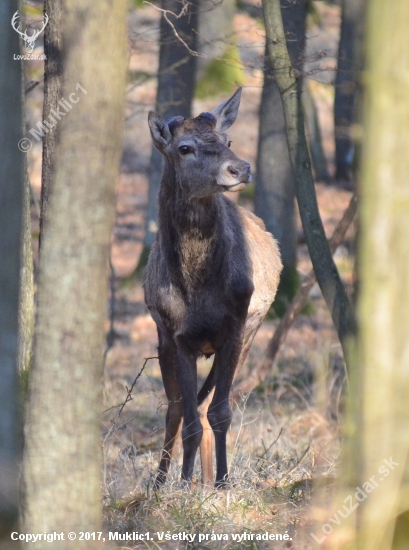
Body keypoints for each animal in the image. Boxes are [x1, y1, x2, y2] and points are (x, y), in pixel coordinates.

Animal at [143, 88, 280, 490]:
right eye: (185, 147)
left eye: (227, 140)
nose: (241, 168)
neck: (198, 288)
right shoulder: (176, 334)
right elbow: (187, 419)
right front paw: (183, 485)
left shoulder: (235, 326)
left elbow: (221, 413)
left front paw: (222, 483)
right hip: (161, 340)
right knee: (176, 410)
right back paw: (162, 482)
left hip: (249, 333)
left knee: (204, 408)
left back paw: (202, 479)